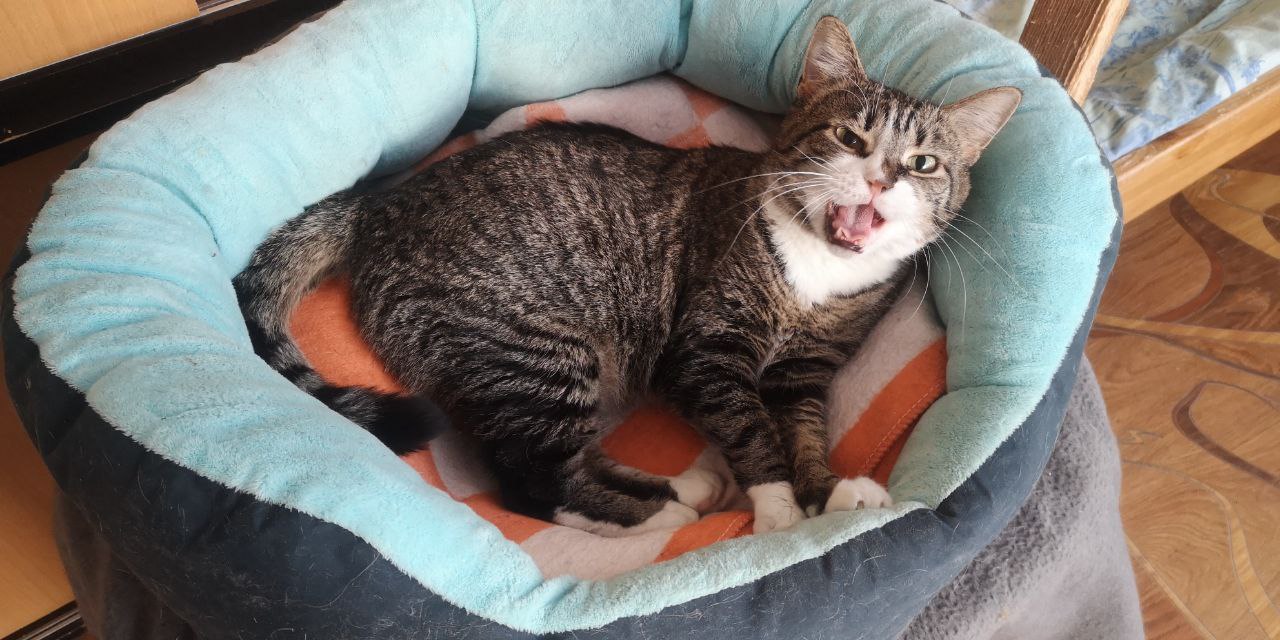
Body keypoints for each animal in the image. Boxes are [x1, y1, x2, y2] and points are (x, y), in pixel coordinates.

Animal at [235, 16, 1020, 536]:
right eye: (850, 137)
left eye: (923, 163)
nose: (882, 178)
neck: (818, 274)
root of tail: (381, 204)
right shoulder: (706, 350)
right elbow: (751, 427)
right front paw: (776, 507)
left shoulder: (805, 370)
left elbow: (801, 430)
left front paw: (826, 493)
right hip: (536, 348)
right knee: (531, 480)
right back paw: (658, 515)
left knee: (564, 457)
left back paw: (687, 485)